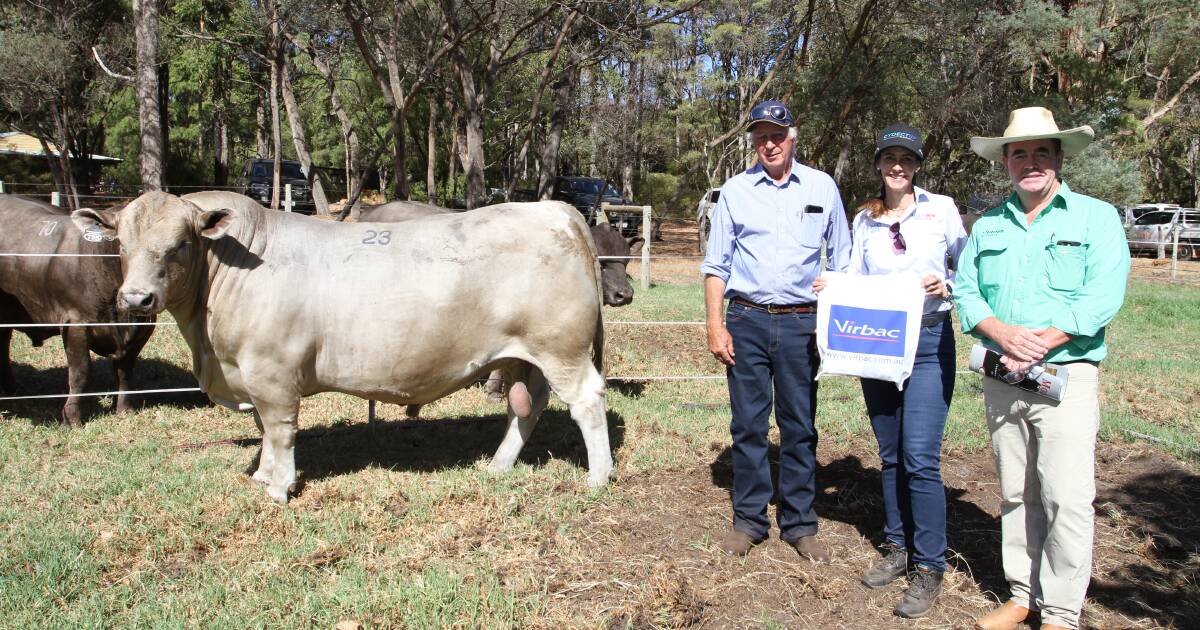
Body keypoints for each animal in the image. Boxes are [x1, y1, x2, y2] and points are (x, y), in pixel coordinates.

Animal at [0, 194, 154, 424]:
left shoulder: (143, 328)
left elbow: (125, 371)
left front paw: (125, 410)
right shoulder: (75, 324)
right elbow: (80, 372)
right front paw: (72, 418)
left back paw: (13, 390)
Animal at [71, 192, 614, 501]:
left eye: (181, 242)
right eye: (120, 243)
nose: (136, 298)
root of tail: (554, 209)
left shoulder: (272, 373)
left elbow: (280, 430)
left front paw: (278, 487)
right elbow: (264, 431)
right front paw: (262, 476)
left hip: (561, 349)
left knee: (586, 401)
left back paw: (598, 477)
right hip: (525, 356)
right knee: (529, 406)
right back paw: (499, 465)